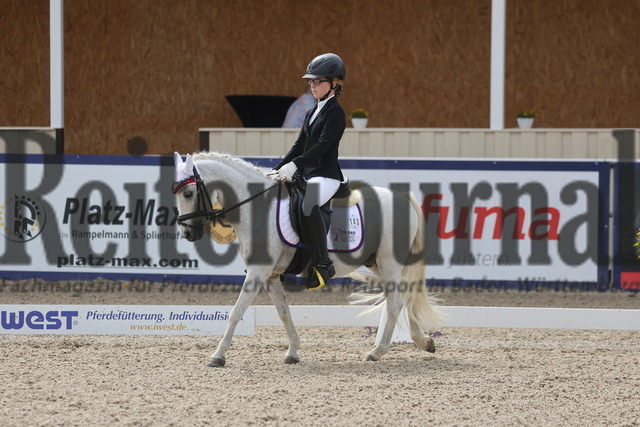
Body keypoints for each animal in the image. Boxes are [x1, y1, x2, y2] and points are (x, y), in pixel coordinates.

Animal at [172, 151, 443, 366]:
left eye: (188, 193)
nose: (188, 233)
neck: (258, 207)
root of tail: (403, 198)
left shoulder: (258, 272)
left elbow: (236, 312)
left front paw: (217, 356)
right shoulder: (271, 276)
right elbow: (283, 312)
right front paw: (292, 352)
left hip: (389, 263)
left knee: (395, 302)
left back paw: (377, 351)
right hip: (379, 263)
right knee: (405, 297)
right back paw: (424, 342)